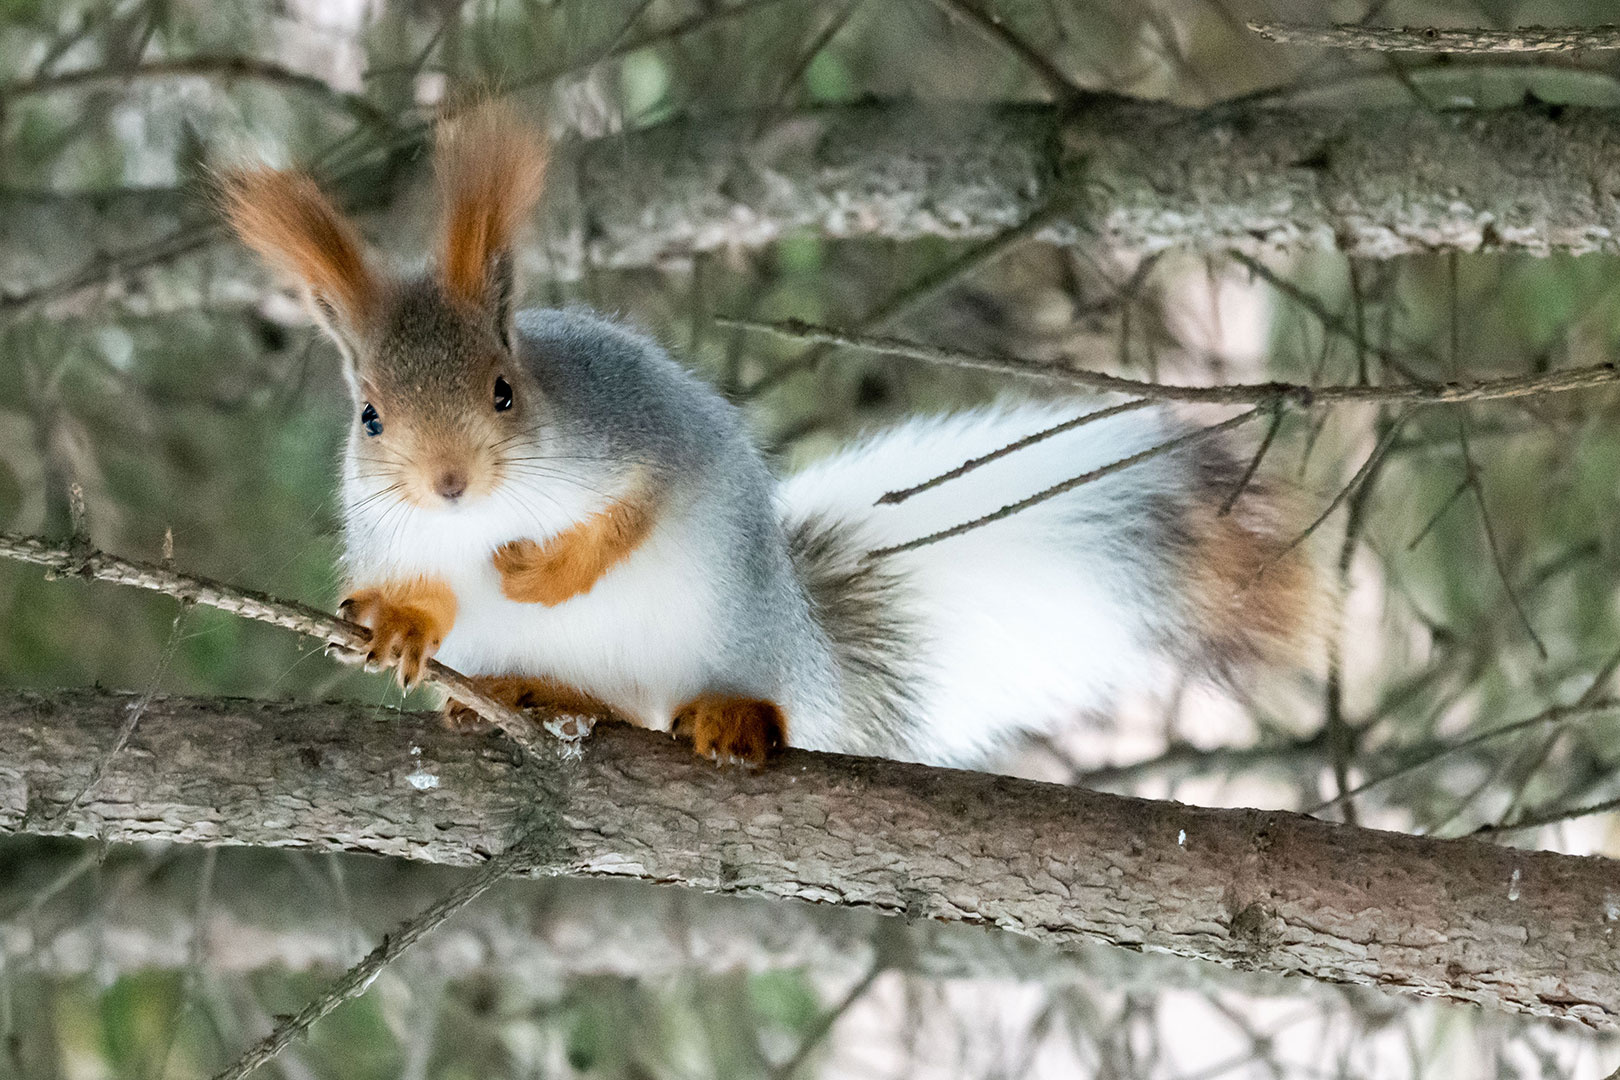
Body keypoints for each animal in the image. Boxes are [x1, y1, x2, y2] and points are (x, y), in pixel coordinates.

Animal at [218, 99, 1315, 767]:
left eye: (503, 393)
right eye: (370, 417)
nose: (449, 483)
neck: (477, 519)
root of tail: (801, 645)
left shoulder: (641, 430)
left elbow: (639, 506)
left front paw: (550, 571)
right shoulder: (396, 533)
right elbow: (421, 592)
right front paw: (396, 629)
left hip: (730, 627)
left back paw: (731, 711)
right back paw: (521, 692)